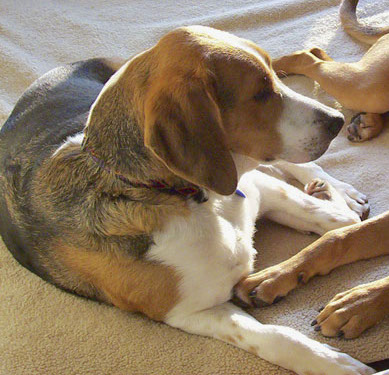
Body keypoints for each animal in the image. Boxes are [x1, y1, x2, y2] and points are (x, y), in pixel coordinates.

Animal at [0, 25, 376, 374]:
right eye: (259, 93)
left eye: (273, 75)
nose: (337, 121)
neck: (196, 199)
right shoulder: (187, 311)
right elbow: (274, 337)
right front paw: (330, 362)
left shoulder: (256, 188)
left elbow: (332, 220)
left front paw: (335, 208)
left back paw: (337, 189)